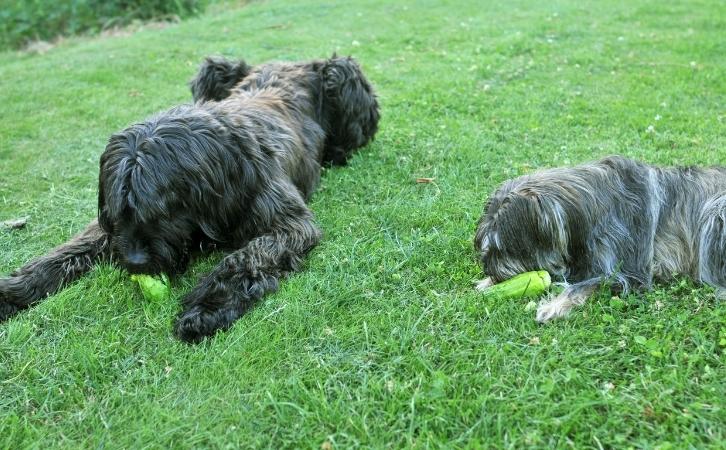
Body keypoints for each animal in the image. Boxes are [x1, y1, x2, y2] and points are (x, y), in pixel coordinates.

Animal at [0, 54, 382, 342]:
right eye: (118, 212)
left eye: (163, 210)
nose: (135, 262)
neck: (221, 165)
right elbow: (65, 253)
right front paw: (13, 291)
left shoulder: (287, 222)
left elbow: (245, 257)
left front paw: (208, 307)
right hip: (213, 69)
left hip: (341, 73)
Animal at [478, 156, 726, 322]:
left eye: (503, 247)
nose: (490, 270)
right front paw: (487, 283)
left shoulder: (630, 271)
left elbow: (586, 284)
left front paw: (554, 306)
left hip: (716, 211)